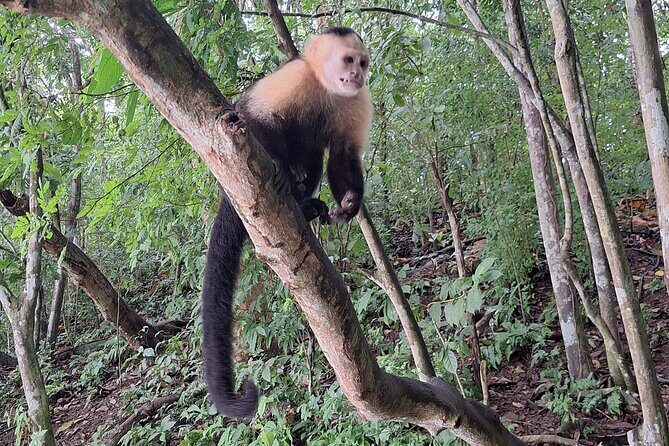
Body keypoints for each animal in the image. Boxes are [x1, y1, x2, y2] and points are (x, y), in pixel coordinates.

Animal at [201, 27, 372, 419]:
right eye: (348, 60)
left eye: (362, 63)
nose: (356, 75)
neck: (326, 88)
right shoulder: (294, 78)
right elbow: (252, 117)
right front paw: (280, 164)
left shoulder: (356, 100)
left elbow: (342, 154)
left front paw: (350, 203)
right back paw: (291, 183)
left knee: (314, 154)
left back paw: (305, 204)